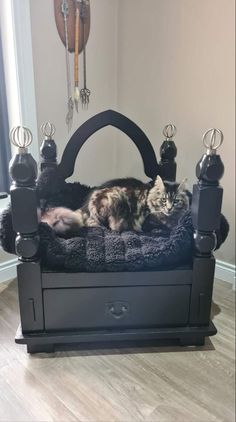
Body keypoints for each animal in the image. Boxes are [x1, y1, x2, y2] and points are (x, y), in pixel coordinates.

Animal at [40, 174, 188, 234]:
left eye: (175, 201)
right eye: (163, 200)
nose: (169, 208)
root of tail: (85, 207)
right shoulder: (148, 222)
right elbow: (163, 227)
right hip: (115, 198)